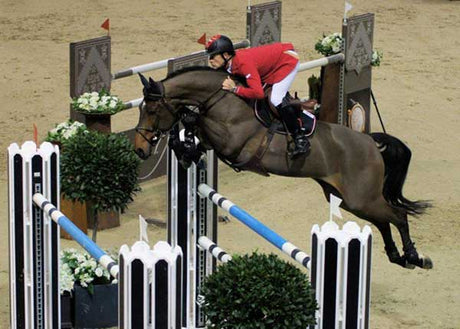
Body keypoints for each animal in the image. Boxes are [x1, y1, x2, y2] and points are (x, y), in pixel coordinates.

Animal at [135, 66, 434, 270]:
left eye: (151, 110)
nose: (139, 149)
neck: (222, 98)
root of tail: (371, 141)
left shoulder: (233, 142)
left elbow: (195, 122)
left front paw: (184, 131)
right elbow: (193, 133)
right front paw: (184, 151)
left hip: (361, 198)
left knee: (397, 216)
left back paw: (414, 257)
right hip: (349, 200)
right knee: (384, 220)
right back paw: (397, 257)